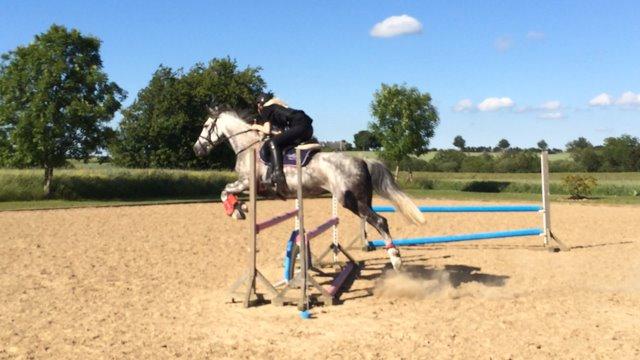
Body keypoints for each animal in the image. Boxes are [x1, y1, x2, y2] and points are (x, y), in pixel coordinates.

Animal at [195, 105, 424, 268]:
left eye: (206, 126)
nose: (197, 149)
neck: (248, 146)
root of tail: (362, 160)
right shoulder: (250, 186)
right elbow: (227, 191)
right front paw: (240, 208)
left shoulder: (248, 182)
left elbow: (224, 190)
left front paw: (235, 211)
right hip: (363, 199)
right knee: (375, 220)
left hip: (350, 200)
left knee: (380, 221)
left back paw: (395, 258)